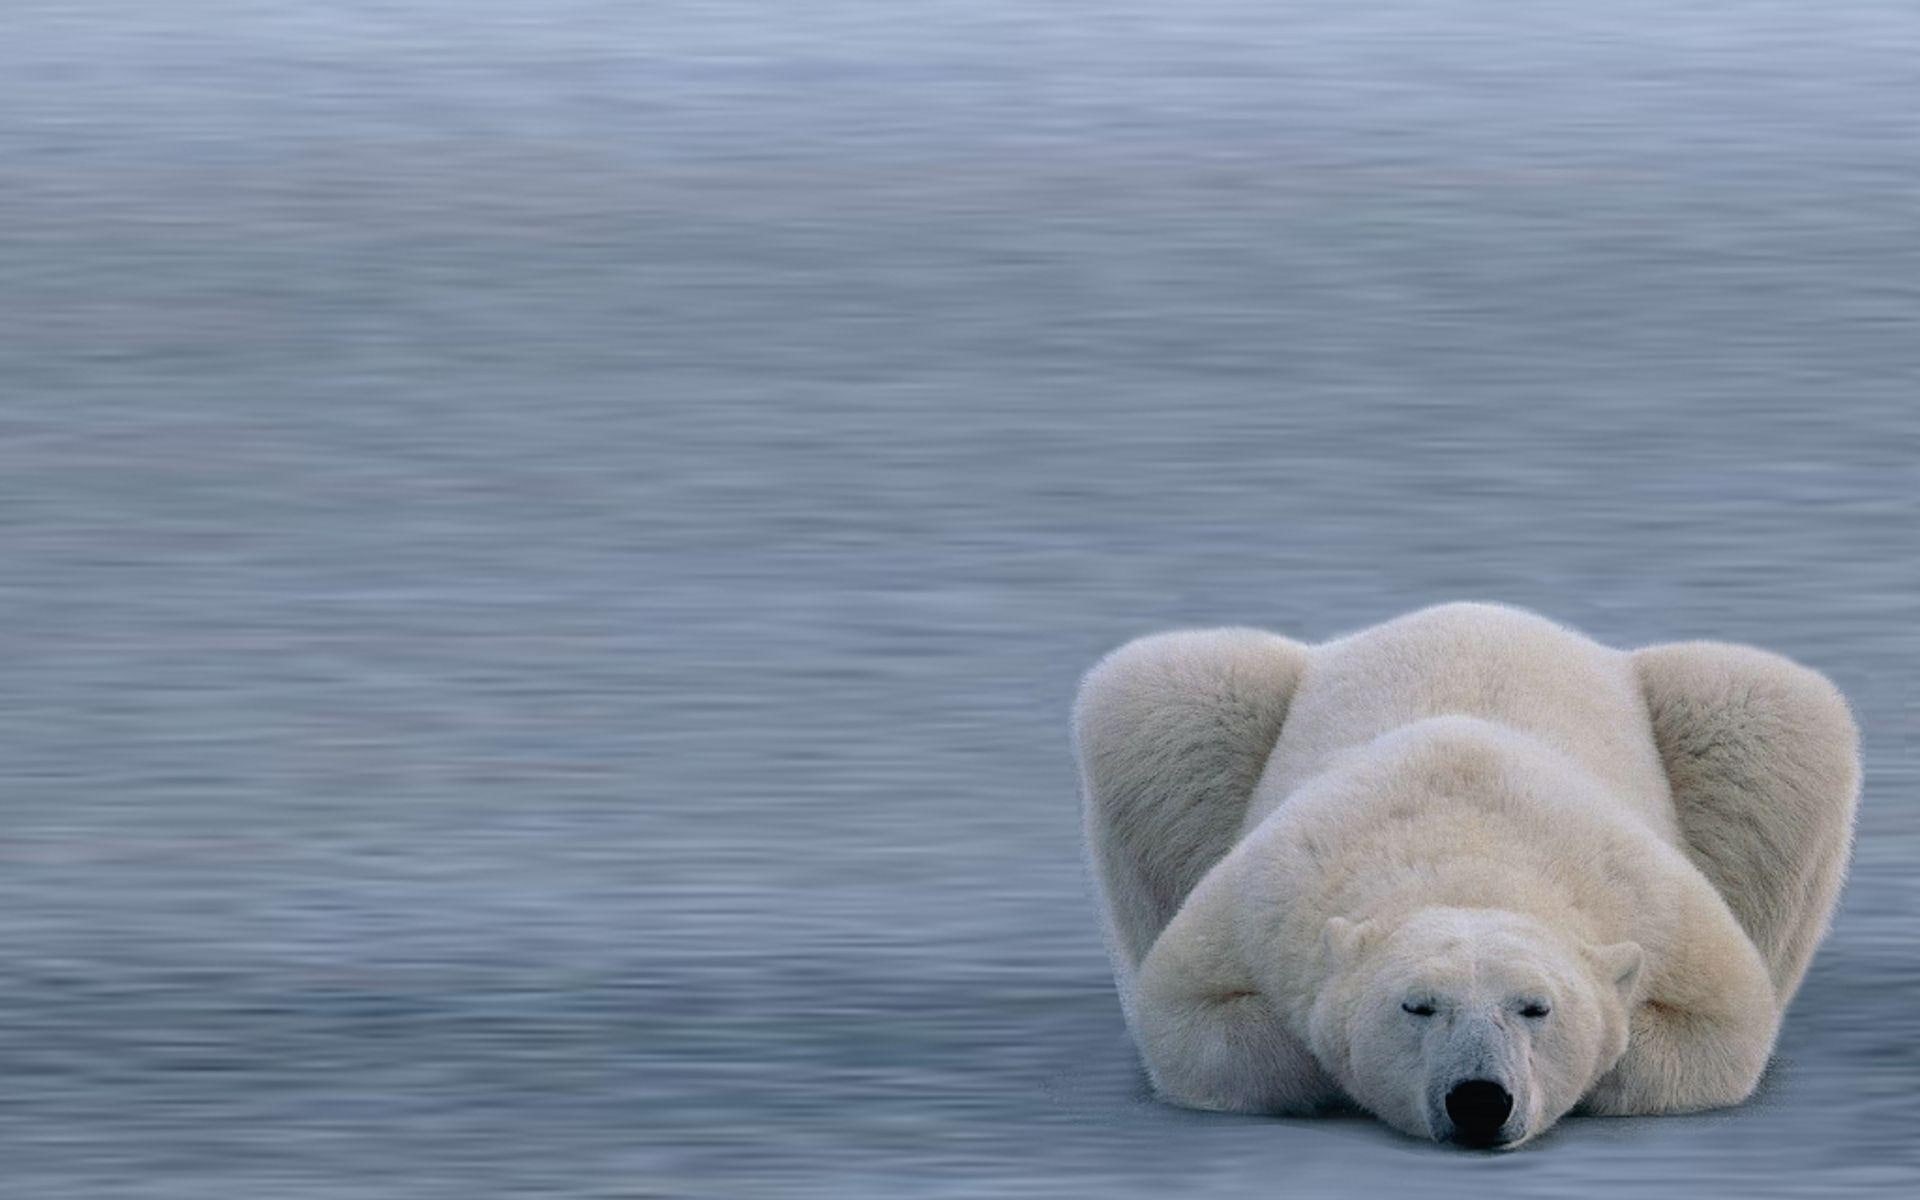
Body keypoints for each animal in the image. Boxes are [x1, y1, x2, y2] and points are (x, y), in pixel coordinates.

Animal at [1073, 602, 1859, 1148]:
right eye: (1417, 1006)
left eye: (1536, 1007)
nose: (1480, 1100)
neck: (1471, 855)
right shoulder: (1270, 898)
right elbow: (1188, 1017)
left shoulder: (1653, 905)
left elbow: (1723, 1026)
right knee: (1163, 697)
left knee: (1772, 715)